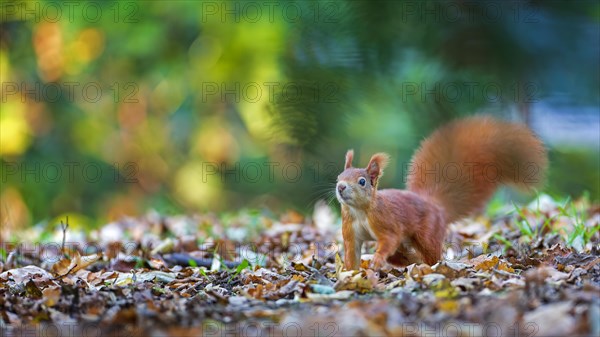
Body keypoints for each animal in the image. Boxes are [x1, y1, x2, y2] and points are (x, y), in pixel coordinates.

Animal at [338, 117, 548, 270]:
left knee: (431, 254)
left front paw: (376, 259)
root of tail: (436, 206)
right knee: (400, 256)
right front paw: (350, 273)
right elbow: (351, 253)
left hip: (427, 233)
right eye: (339, 176)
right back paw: (412, 261)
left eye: (362, 181)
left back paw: (430, 265)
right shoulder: (351, 231)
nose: (340, 187)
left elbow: (388, 240)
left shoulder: (385, 222)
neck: (359, 211)